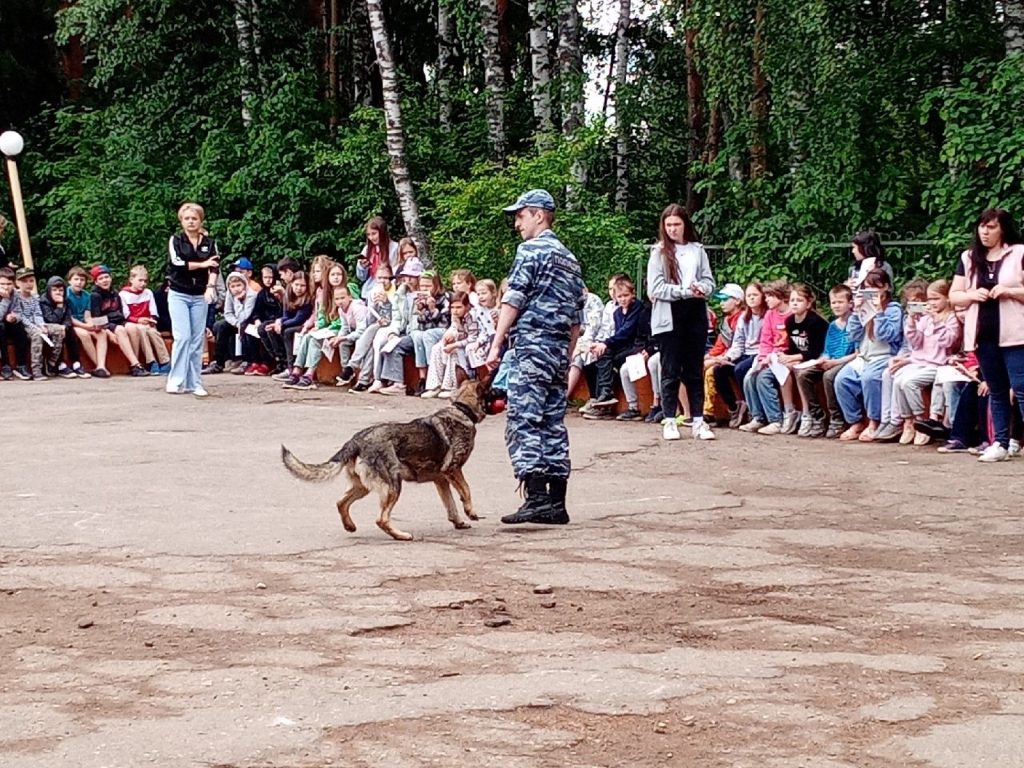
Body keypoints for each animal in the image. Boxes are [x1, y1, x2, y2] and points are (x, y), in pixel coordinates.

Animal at [280, 378, 487, 540]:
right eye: (491, 391)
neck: (462, 410)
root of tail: (356, 440)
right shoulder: (453, 470)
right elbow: (466, 491)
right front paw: (471, 512)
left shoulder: (441, 480)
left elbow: (451, 506)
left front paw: (459, 522)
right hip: (393, 486)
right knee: (381, 519)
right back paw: (401, 535)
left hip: (363, 487)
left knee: (341, 503)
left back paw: (350, 526)